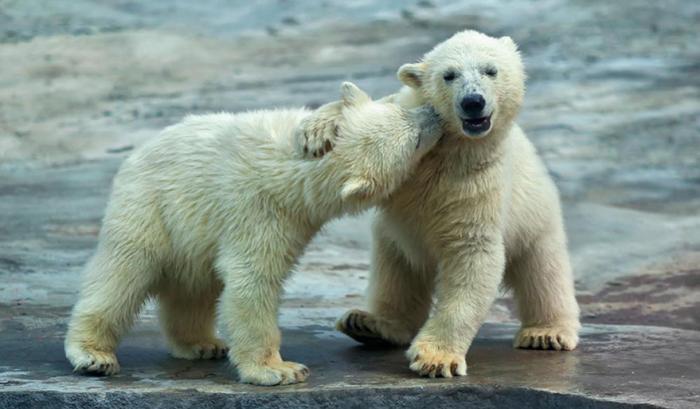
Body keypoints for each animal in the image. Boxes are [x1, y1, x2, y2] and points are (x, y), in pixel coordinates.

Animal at [63, 81, 440, 384]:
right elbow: (253, 280)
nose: (435, 113)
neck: (293, 169)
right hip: (149, 207)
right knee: (123, 274)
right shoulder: (260, 211)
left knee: (194, 286)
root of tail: (134, 156)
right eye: (414, 140)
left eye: (404, 108)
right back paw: (94, 354)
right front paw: (280, 370)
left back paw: (201, 343)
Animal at [304, 30, 584, 378]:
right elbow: (380, 110)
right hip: (395, 237)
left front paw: (436, 359)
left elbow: (472, 257)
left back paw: (546, 333)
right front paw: (318, 130)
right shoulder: (412, 114)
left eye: (491, 70)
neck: (448, 148)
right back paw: (369, 323)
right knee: (395, 270)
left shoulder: (477, 181)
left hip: (536, 218)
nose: (473, 102)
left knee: (544, 273)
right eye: (449, 75)